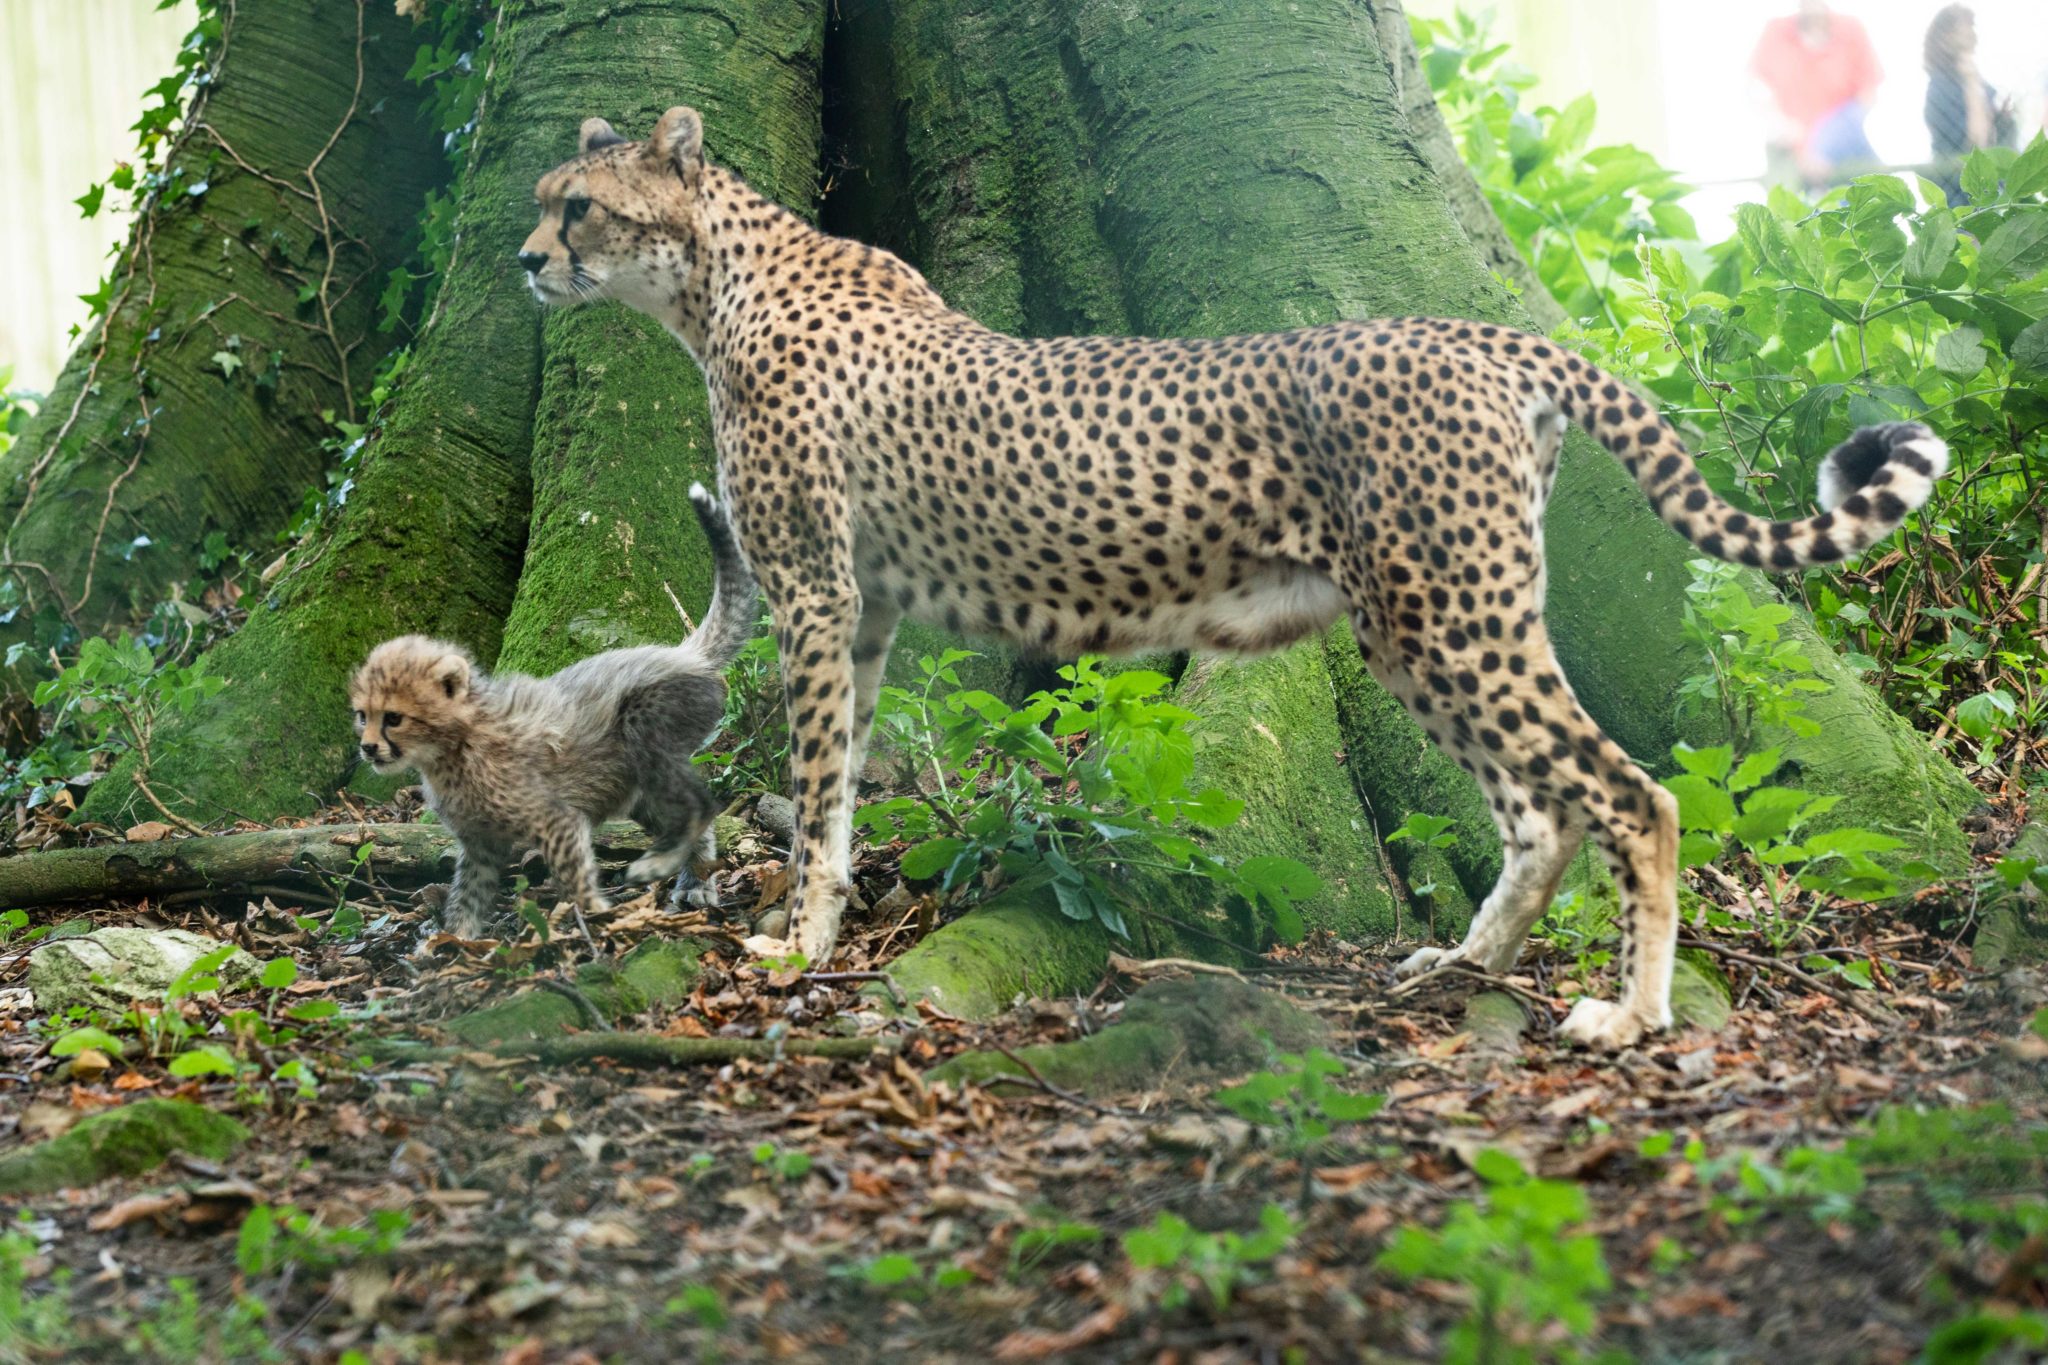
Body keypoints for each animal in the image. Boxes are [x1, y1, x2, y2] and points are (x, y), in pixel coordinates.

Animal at [516, 109, 1949, 1047]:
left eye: (575, 203)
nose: (525, 261)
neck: (714, 282)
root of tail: (1477, 332)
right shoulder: (859, 614)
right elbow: (847, 776)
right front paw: (817, 917)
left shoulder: (814, 594)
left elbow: (815, 788)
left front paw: (794, 942)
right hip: (1419, 627)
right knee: (1537, 812)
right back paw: (1456, 965)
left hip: (1449, 615)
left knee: (1630, 794)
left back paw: (1630, 1014)